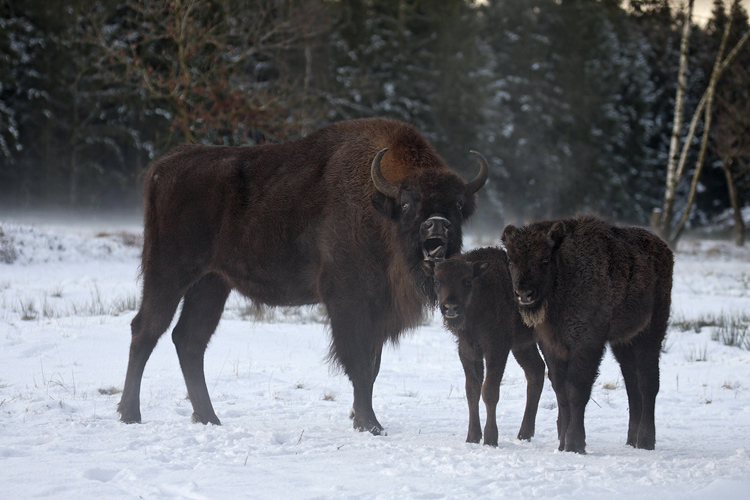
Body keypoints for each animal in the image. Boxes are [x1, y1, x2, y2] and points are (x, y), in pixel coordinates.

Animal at [116, 117, 494, 434]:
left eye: (458, 205)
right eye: (406, 203)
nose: (437, 226)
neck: (377, 207)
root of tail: (164, 167)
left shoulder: (377, 312)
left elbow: (372, 367)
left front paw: (361, 418)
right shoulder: (348, 303)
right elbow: (360, 365)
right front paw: (370, 425)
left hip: (211, 283)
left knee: (189, 339)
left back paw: (209, 417)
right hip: (169, 271)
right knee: (146, 329)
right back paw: (130, 414)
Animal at [428, 248, 548, 448]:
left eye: (467, 281)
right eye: (437, 282)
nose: (451, 308)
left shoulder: (497, 349)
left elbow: (489, 391)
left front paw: (491, 439)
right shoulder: (468, 351)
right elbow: (472, 391)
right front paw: (472, 437)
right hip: (523, 347)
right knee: (536, 372)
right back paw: (524, 434)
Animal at [502, 215, 672, 454]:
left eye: (545, 258)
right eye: (510, 259)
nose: (524, 294)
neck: (564, 274)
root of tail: (664, 248)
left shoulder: (587, 343)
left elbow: (576, 390)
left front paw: (575, 444)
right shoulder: (551, 345)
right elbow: (561, 391)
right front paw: (563, 445)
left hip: (651, 332)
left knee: (648, 383)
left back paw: (646, 442)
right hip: (623, 342)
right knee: (632, 385)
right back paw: (631, 440)